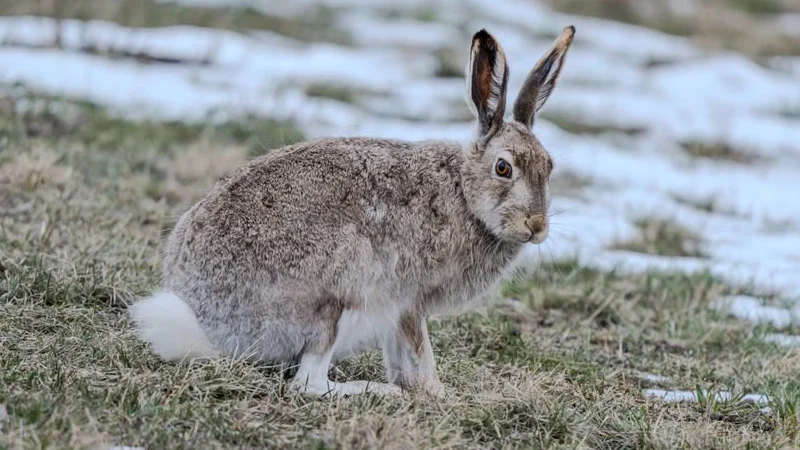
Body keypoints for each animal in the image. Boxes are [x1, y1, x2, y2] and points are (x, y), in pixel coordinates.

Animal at [130, 26, 576, 397]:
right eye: (503, 168)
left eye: (550, 166)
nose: (536, 226)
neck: (465, 195)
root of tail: (207, 323)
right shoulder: (407, 297)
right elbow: (419, 348)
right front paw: (435, 392)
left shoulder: (397, 309)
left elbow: (402, 352)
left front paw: (422, 388)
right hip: (338, 292)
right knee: (308, 384)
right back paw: (374, 390)